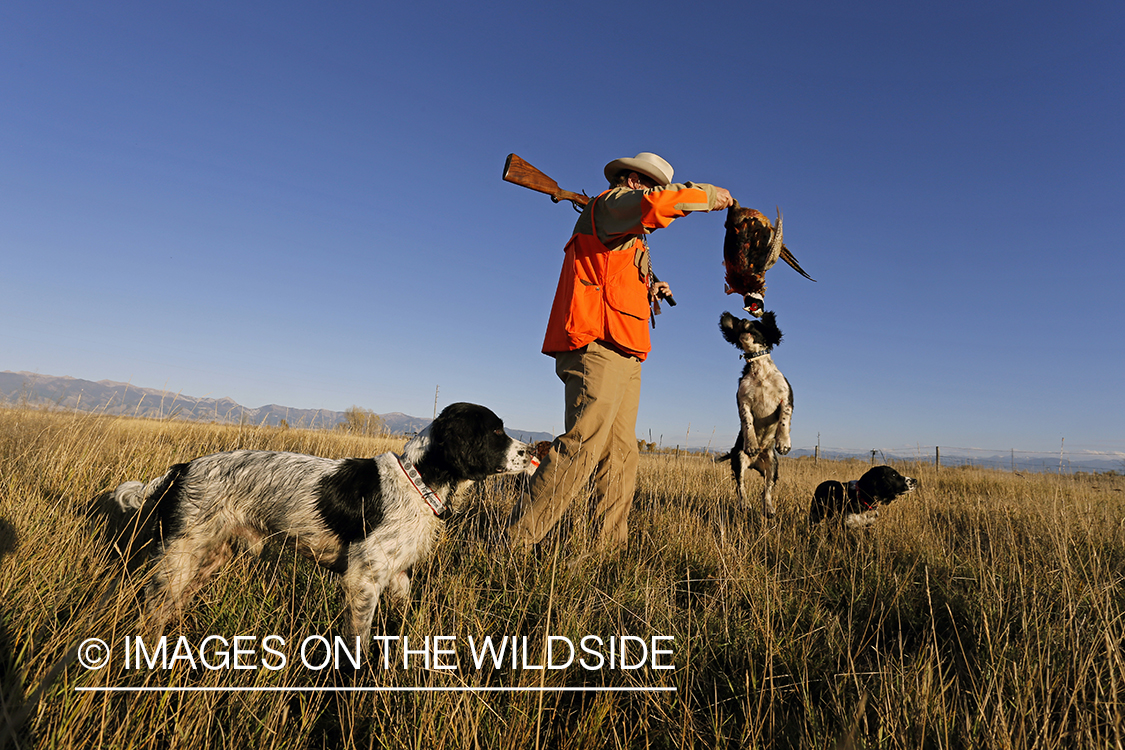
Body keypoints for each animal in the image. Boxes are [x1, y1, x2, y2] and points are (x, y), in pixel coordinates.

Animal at [108, 404, 535, 652]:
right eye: (496, 431)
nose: (532, 450)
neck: (417, 479)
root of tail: (183, 468)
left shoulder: (397, 575)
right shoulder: (364, 578)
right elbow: (358, 642)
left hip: (208, 557)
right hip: (180, 556)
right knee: (152, 608)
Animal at [720, 310, 792, 517]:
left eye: (755, 323)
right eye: (739, 323)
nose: (743, 319)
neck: (760, 370)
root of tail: (755, 463)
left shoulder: (786, 398)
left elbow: (784, 420)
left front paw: (783, 443)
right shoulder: (743, 401)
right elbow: (747, 422)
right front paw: (751, 443)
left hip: (772, 465)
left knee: (766, 489)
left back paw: (769, 509)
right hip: (738, 459)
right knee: (741, 485)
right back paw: (745, 505)